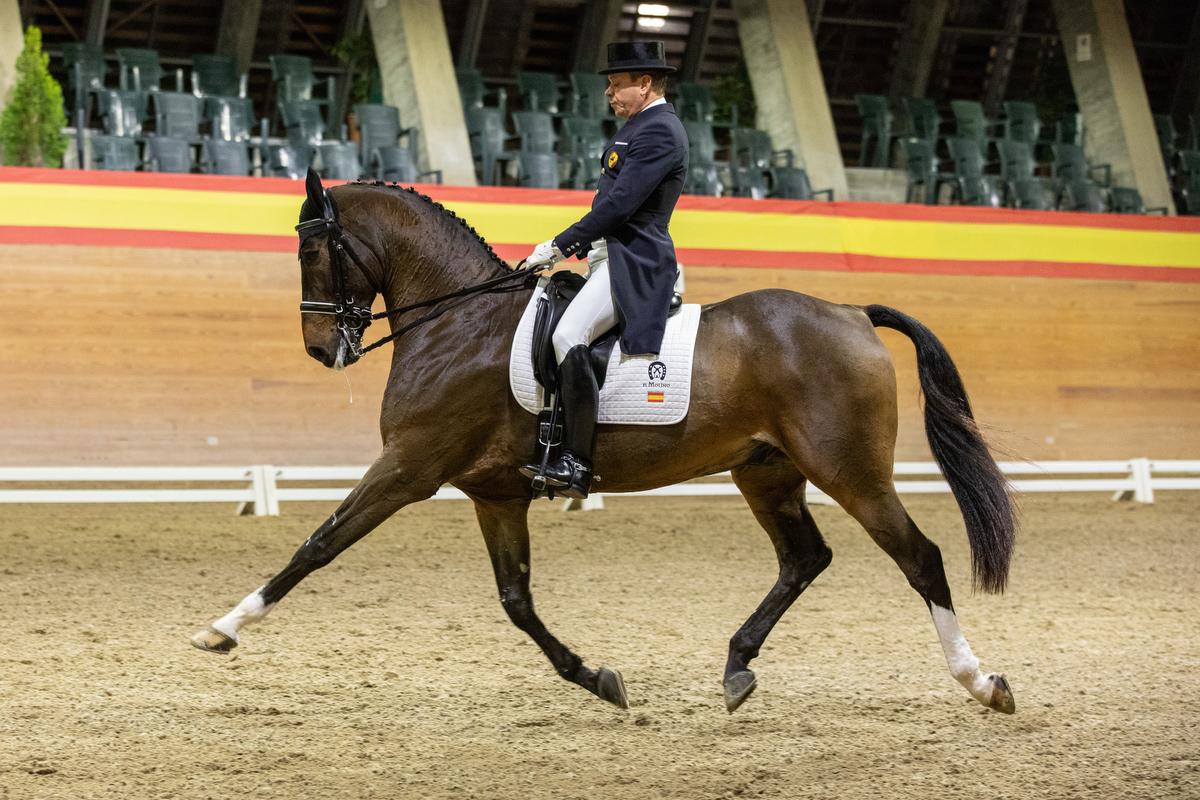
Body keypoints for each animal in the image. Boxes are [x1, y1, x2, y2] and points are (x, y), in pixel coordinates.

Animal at [192, 172, 1017, 714]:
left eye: (311, 252)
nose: (318, 351)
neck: (458, 321)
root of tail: (851, 312)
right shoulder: (495, 494)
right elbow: (517, 602)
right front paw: (598, 679)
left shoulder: (409, 468)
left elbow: (318, 545)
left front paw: (222, 629)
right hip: (767, 471)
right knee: (804, 558)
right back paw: (737, 668)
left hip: (849, 470)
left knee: (920, 557)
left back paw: (983, 682)